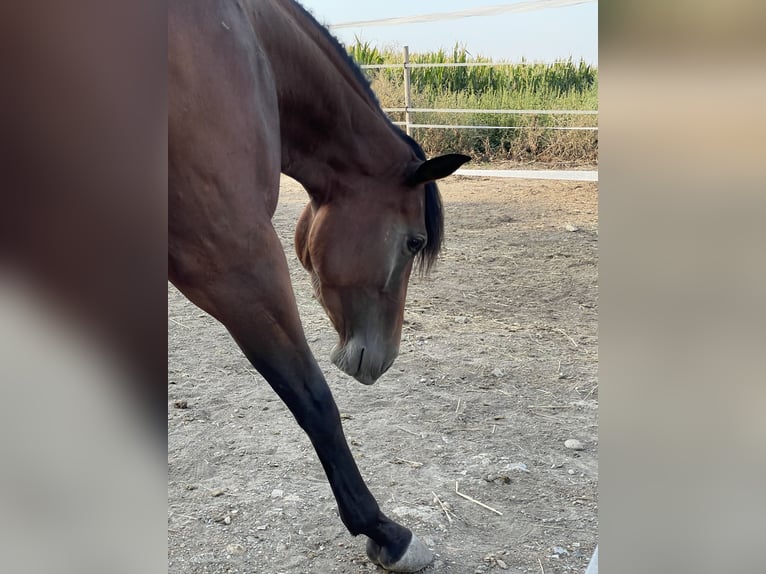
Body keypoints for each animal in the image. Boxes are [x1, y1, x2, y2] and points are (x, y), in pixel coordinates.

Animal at [170, 0, 468, 572]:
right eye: (415, 241)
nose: (384, 359)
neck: (252, 50)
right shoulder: (234, 259)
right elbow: (314, 399)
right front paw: (384, 530)